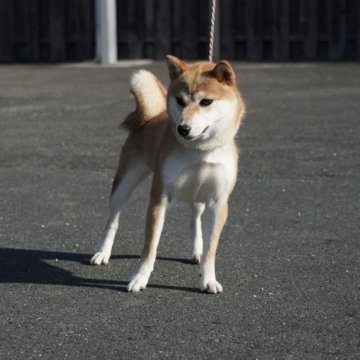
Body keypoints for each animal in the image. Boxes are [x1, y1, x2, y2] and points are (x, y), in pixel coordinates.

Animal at [91, 55, 246, 292]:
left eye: (206, 102)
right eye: (180, 101)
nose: (183, 128)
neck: (200, 151)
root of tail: (152, 115)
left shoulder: (218, 203)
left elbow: (211, 250)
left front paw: (208, 279)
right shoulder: (159, 198)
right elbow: (149, 248)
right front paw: (140, 278)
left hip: (198, 197)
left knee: (194, 220)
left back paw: (196, 252)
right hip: (124, 184)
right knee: (112, 221)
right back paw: (102, 252)